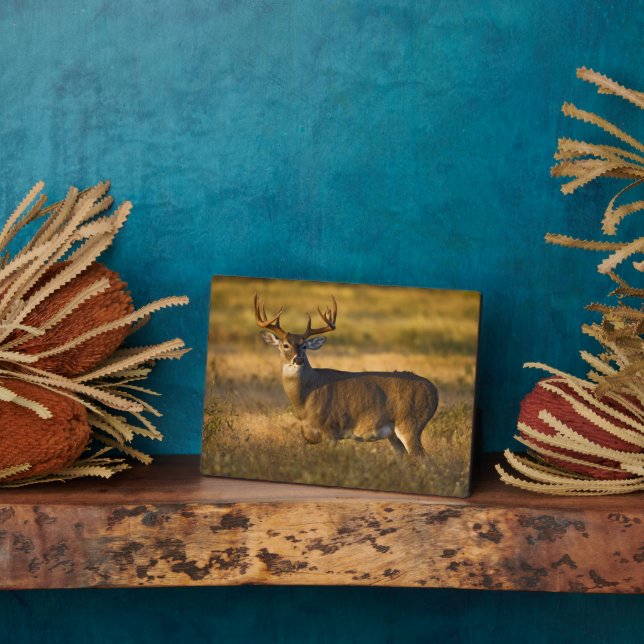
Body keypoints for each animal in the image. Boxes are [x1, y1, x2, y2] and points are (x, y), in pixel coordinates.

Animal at [254, 294, 438, 456]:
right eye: (285, 345)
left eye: (305, 346)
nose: (298, 359)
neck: (307, 398)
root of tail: (434, 391)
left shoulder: (331, 429)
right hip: (393, 435)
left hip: (410, 423)